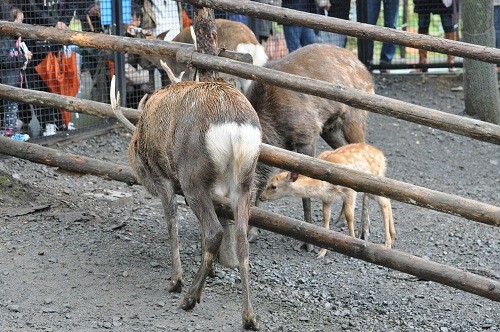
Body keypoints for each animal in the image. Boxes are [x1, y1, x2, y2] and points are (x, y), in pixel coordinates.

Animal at [110, 66, 262, 328]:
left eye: (135, 155)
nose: (138, 173)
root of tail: (236, 130)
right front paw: (210, 273)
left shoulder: (162, 177)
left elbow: (172, 225)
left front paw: (175, 280)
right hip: (245, 182)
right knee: (241, 237)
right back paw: (249, 316)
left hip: (192, 176)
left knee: (215, 231)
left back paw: (190, 297)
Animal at [247, 43, 376, 249]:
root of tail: (365, 70)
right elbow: (262, 183)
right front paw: (253, 232)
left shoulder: (306, 137)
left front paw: (308, 241)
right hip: (330, 128)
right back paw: (341, 219)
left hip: (355, 117)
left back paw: (365, 229)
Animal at [258, 144, 394, 258]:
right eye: (268, 182)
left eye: (273, 186)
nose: (261, 197)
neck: (324, 184)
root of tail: (381, 155)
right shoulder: (327, 198)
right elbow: (326, 219)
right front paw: (322, 252)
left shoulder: (349, 190)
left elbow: (349, 216)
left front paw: (352, 246)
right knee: (387, 201)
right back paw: (393, 237)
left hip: (374, 182)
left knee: (384, 203)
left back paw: (387, 242)